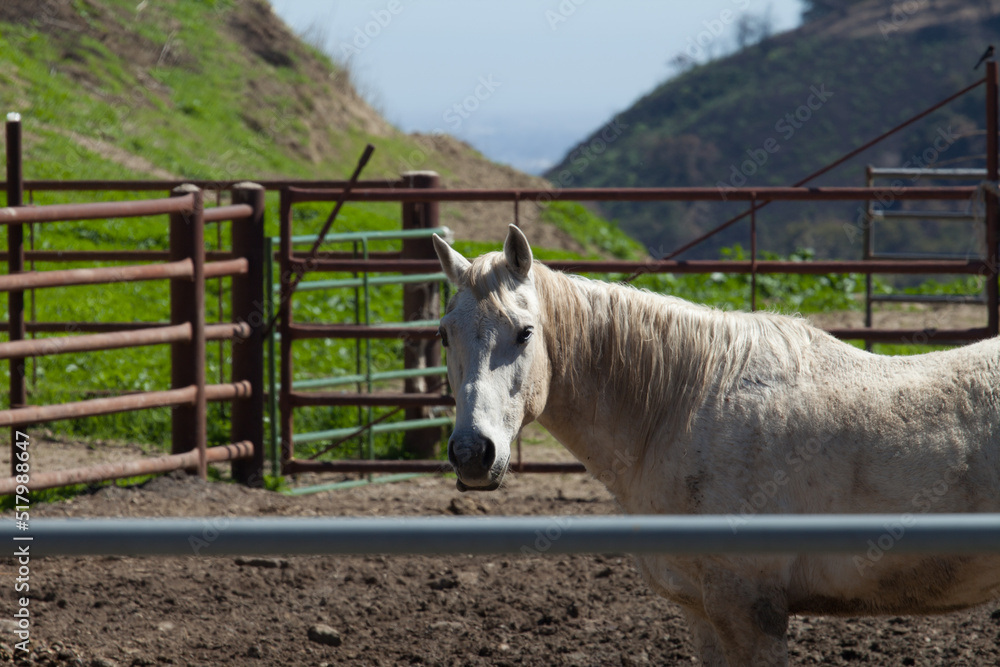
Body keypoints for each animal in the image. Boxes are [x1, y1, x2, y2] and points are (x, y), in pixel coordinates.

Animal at [432, 225, 1000, 666]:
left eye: (525, 332)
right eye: (443, 335)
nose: (472, 454)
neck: (682, 410)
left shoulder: (750, 612)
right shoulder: (704, 615)